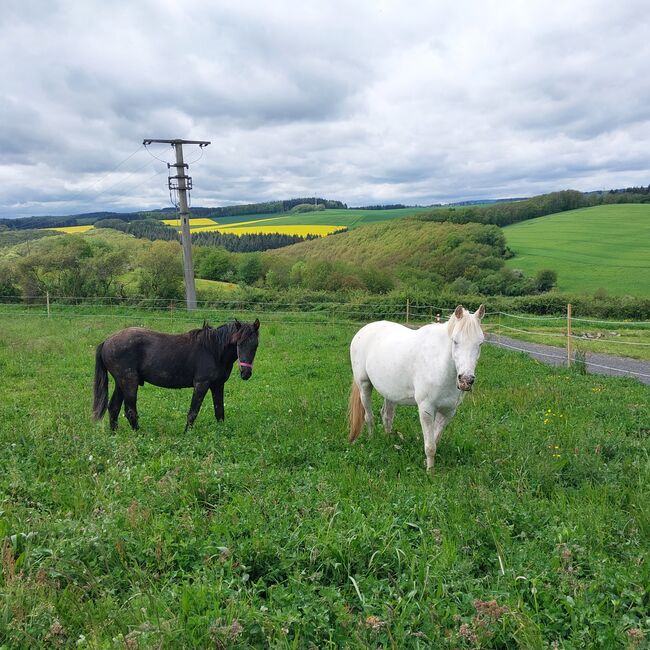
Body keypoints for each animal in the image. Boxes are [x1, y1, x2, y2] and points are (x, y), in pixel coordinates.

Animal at [92, 318, 260, 430]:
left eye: (256, 345)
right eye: (239, 343)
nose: (245, 373)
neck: (213, 350)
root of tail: (106, 341)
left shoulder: (217, 385)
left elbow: (219, 412)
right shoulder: (201, 384)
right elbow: (193, 412)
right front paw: (187, 434)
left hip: (121, 382)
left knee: (114, 408)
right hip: (129, 382)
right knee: (130, 411)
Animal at [350, 304, 480, 470]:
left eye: (480, 343)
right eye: (455, 341)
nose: (466, 380)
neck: (439, 364)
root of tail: (363, 330)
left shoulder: (448, 412)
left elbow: (435, 440)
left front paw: (428, 464)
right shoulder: (426, 409)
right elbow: (430, 446)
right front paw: (430, 471)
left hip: (390, 392)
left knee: (387, 415)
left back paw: (388, 439)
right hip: (364, 385)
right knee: (369, 417)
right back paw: (372, 440)